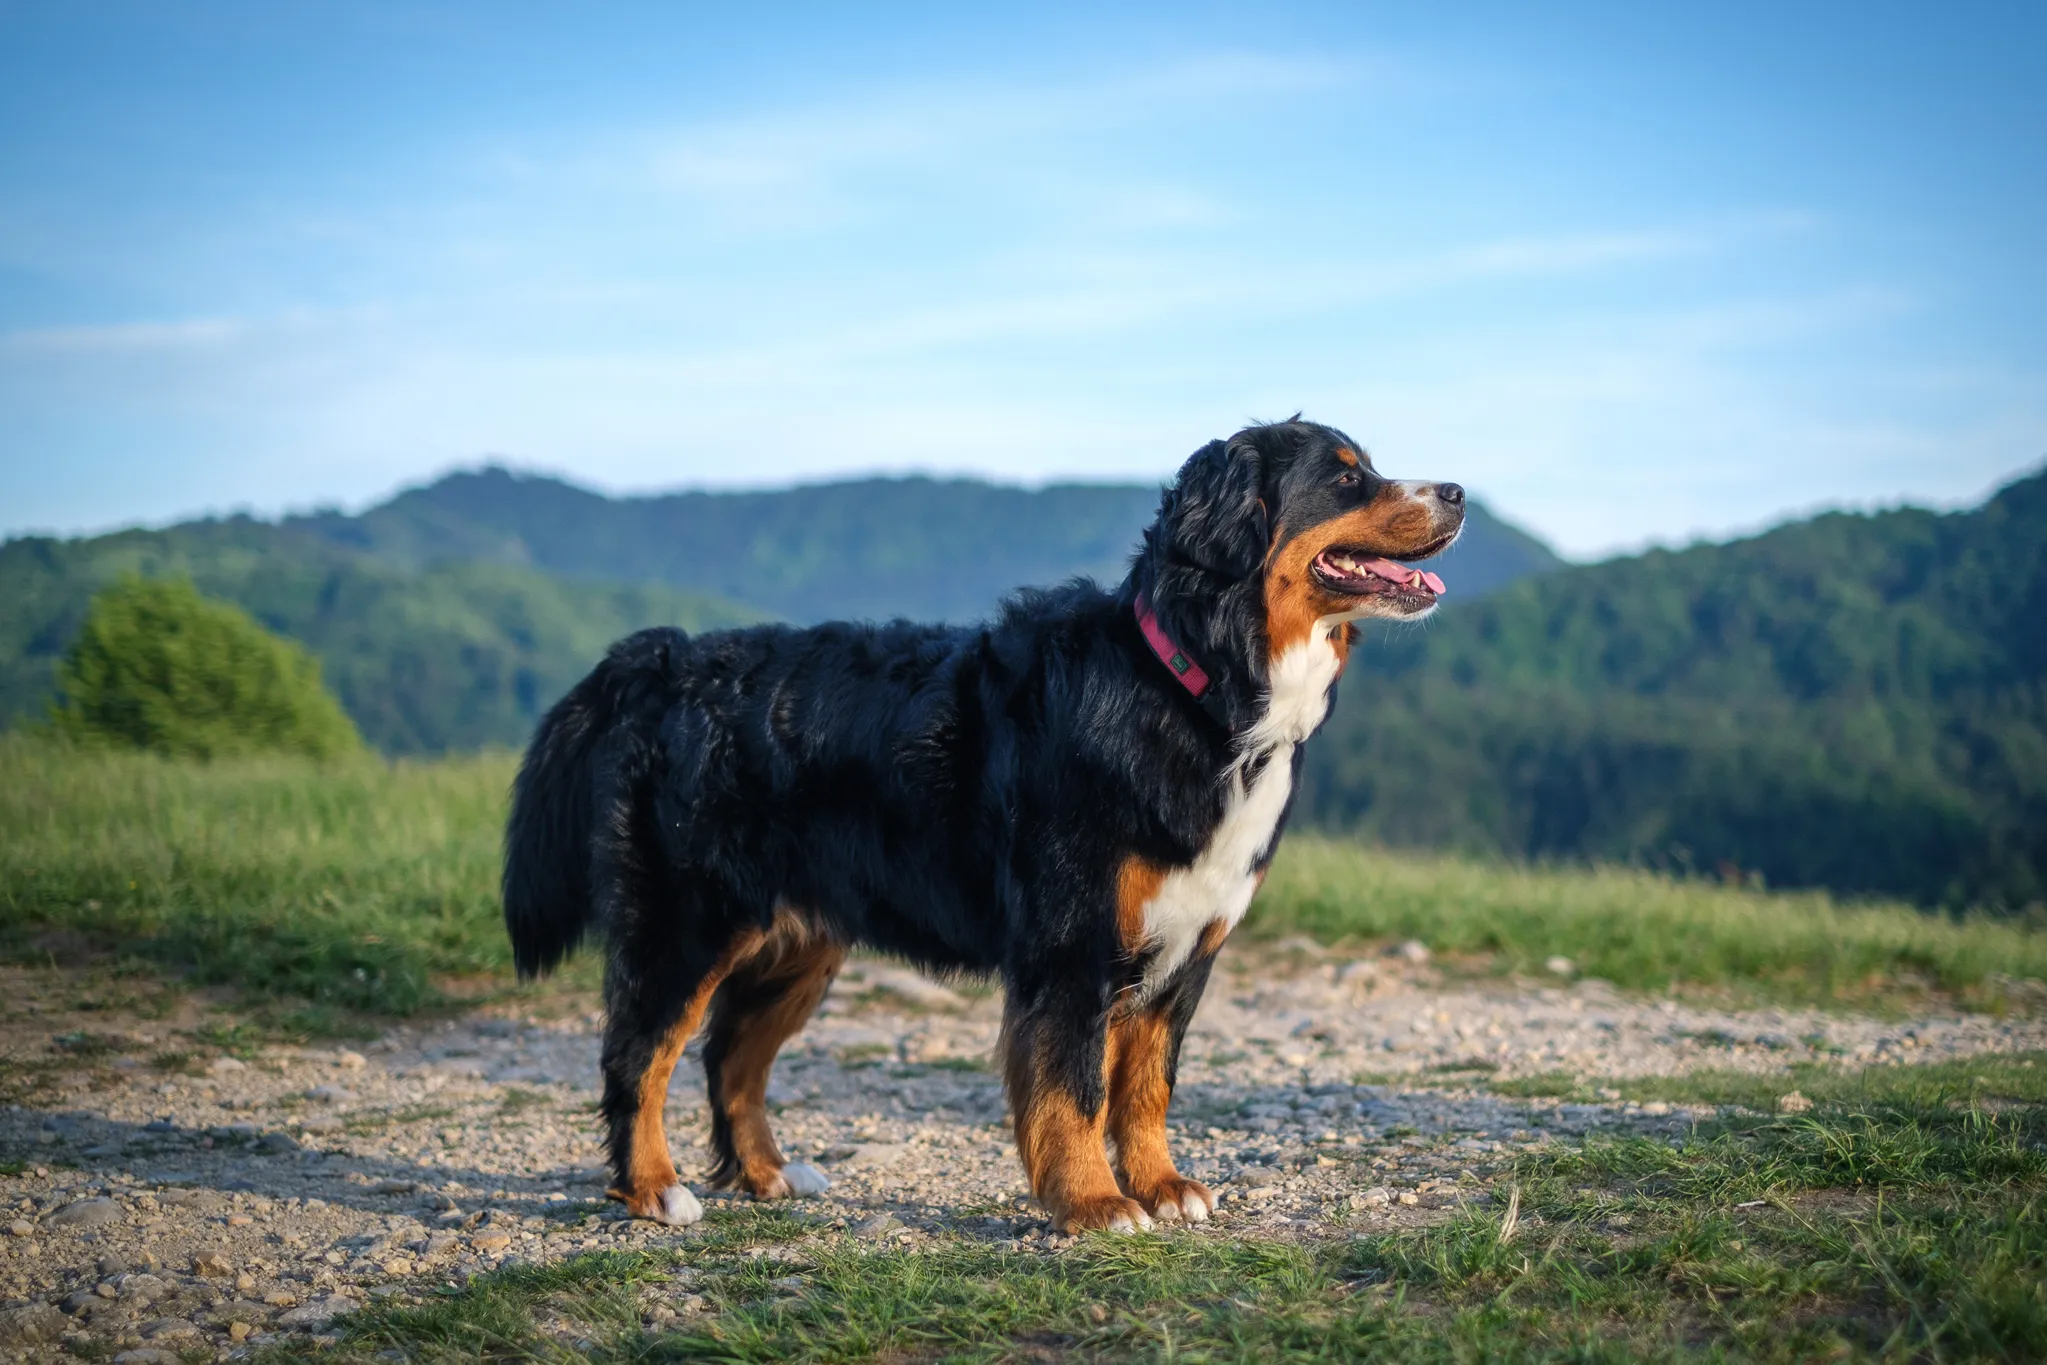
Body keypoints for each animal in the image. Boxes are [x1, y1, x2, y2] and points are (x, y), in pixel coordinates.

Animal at [503, 419, 1465, 1236]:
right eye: (1346, 478)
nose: (1456, 489)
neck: (1195, 686)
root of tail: (665, 658)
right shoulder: (1071, 942)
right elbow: (1073, 1086)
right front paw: (1094, 1202)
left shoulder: (1185, 951)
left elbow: (1145, 1086)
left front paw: (1159, 1184)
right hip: (688, 922)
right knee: (639, 1055)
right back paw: (652, 1188)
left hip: (800, 943)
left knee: (730, 1056)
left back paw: (767, 1173)